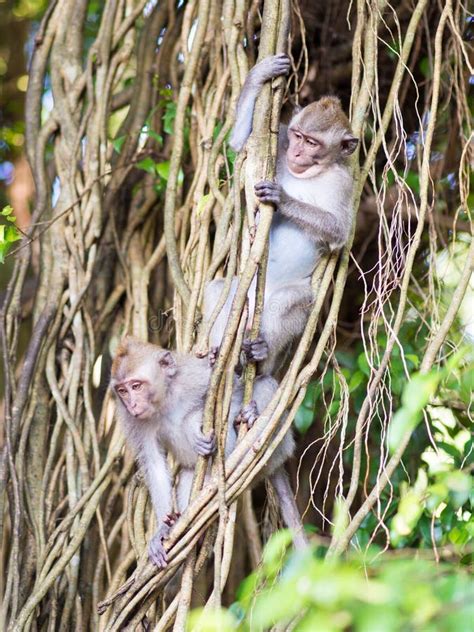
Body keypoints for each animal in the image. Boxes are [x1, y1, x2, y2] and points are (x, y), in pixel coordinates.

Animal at [110, 338, 304, 572]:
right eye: (122, 390)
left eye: (136, 386)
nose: (132, 404)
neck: (165, 399)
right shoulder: (132, 421)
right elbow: (154, 464)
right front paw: (162, 530)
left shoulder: (197, 377)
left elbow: (233, 390)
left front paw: (193, 425)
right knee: (188, 474)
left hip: (279, 446)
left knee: (264, 386)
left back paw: (251, 423)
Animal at [202, 54, 358, 376]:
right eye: (298, 136)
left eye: (312, 143)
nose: (297, 153)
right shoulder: (281, 138)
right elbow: (242, 146)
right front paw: (260, 74)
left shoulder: (345, 183)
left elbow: (339, 231)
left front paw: (282, 198)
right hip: (244, 297)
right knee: (221, 288)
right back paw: (218, 354)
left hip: (283, 303)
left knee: (291, 301)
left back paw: (261, 356)